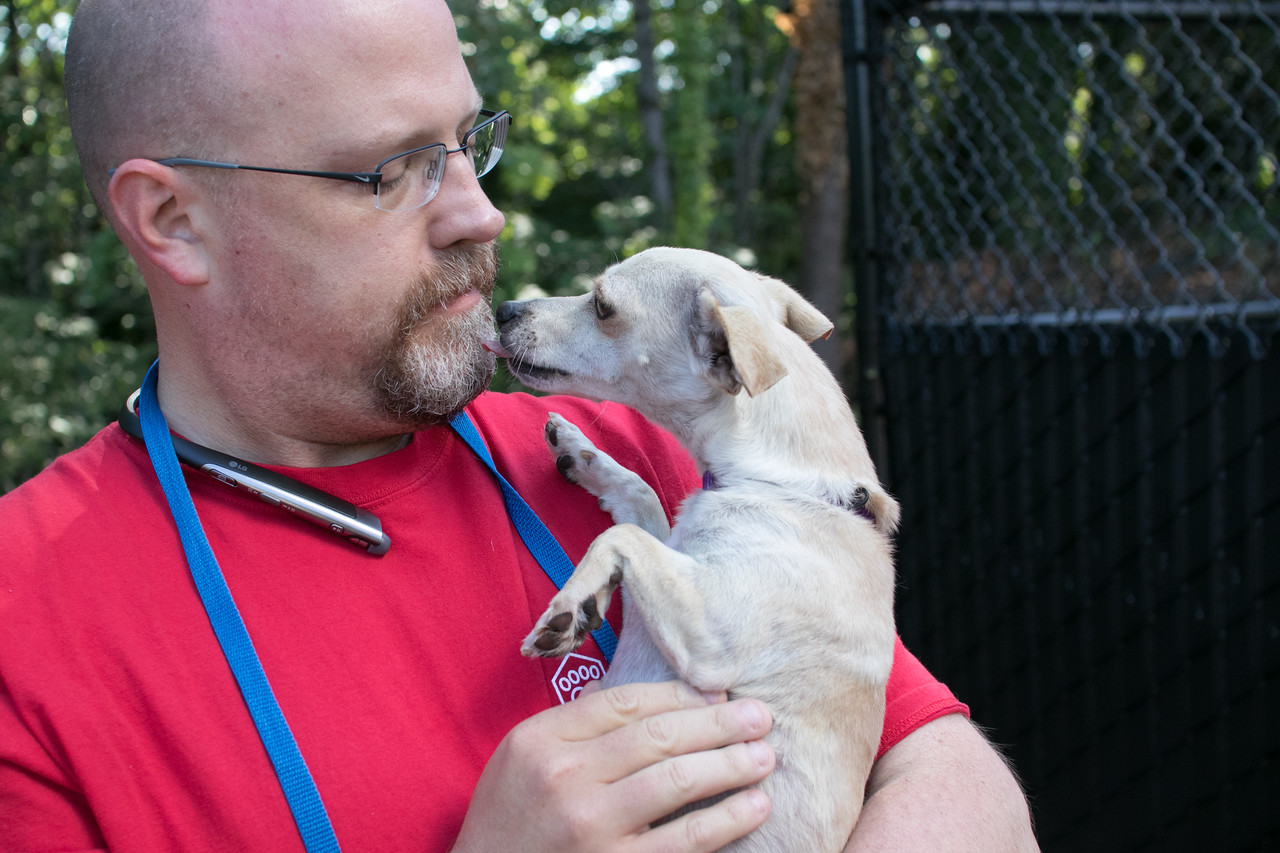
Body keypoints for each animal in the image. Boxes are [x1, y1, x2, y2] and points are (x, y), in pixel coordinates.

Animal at [488, 247, 901, 850]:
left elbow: (620, 535)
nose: (503, 309)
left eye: (603, 306)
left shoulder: (711, 639)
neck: (777, 484)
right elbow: (641, 500)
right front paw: (585, 455)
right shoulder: (674, 555)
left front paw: (571, 607)